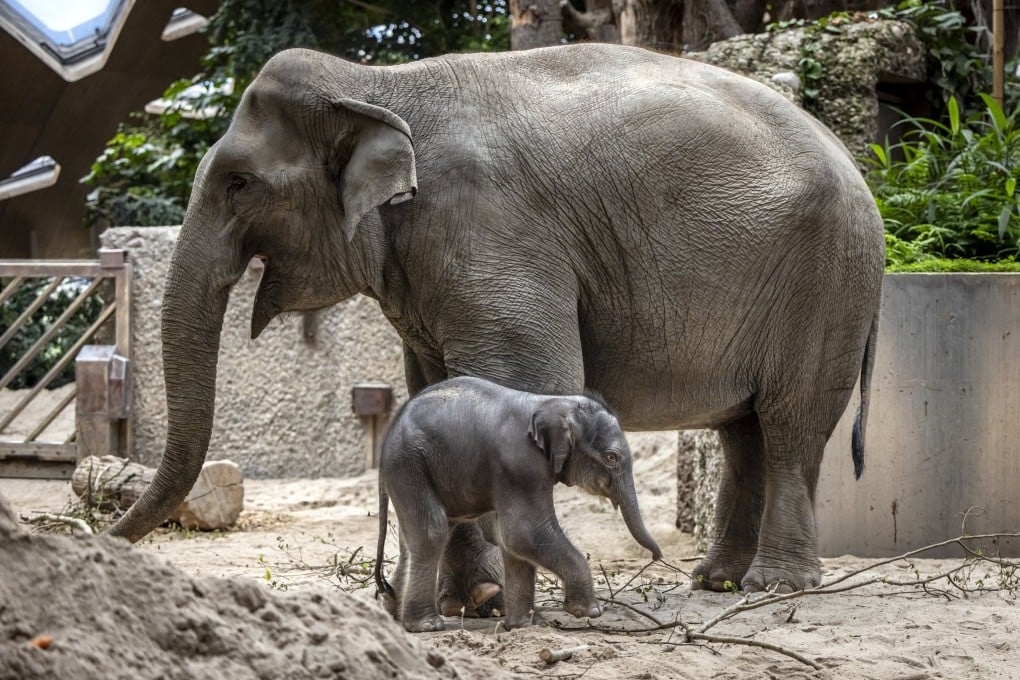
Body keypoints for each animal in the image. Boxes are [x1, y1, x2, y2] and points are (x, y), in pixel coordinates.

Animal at [108, 42, 885, 600]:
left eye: (239, 184)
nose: (107, 535)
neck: (376, 83)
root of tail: (857, 164)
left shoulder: (490, 231)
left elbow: (523, 377)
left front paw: (483, 599)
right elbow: (432, 388)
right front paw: (467, 601)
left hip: (828, 279)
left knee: (788, 428)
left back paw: (776, 585)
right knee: (743, 432)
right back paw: (716, 581)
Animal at [374, 376, 662, 631]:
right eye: (611, 457)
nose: (657, 556)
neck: (549, 402)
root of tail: (387, 437)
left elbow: (513, 542)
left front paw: (524, 626)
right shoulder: (521, 465)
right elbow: (523, 533)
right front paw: (588, 611)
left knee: (413, 540)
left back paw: (394, 615)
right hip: (409, 465)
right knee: (433, 532)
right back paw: (426, 625)